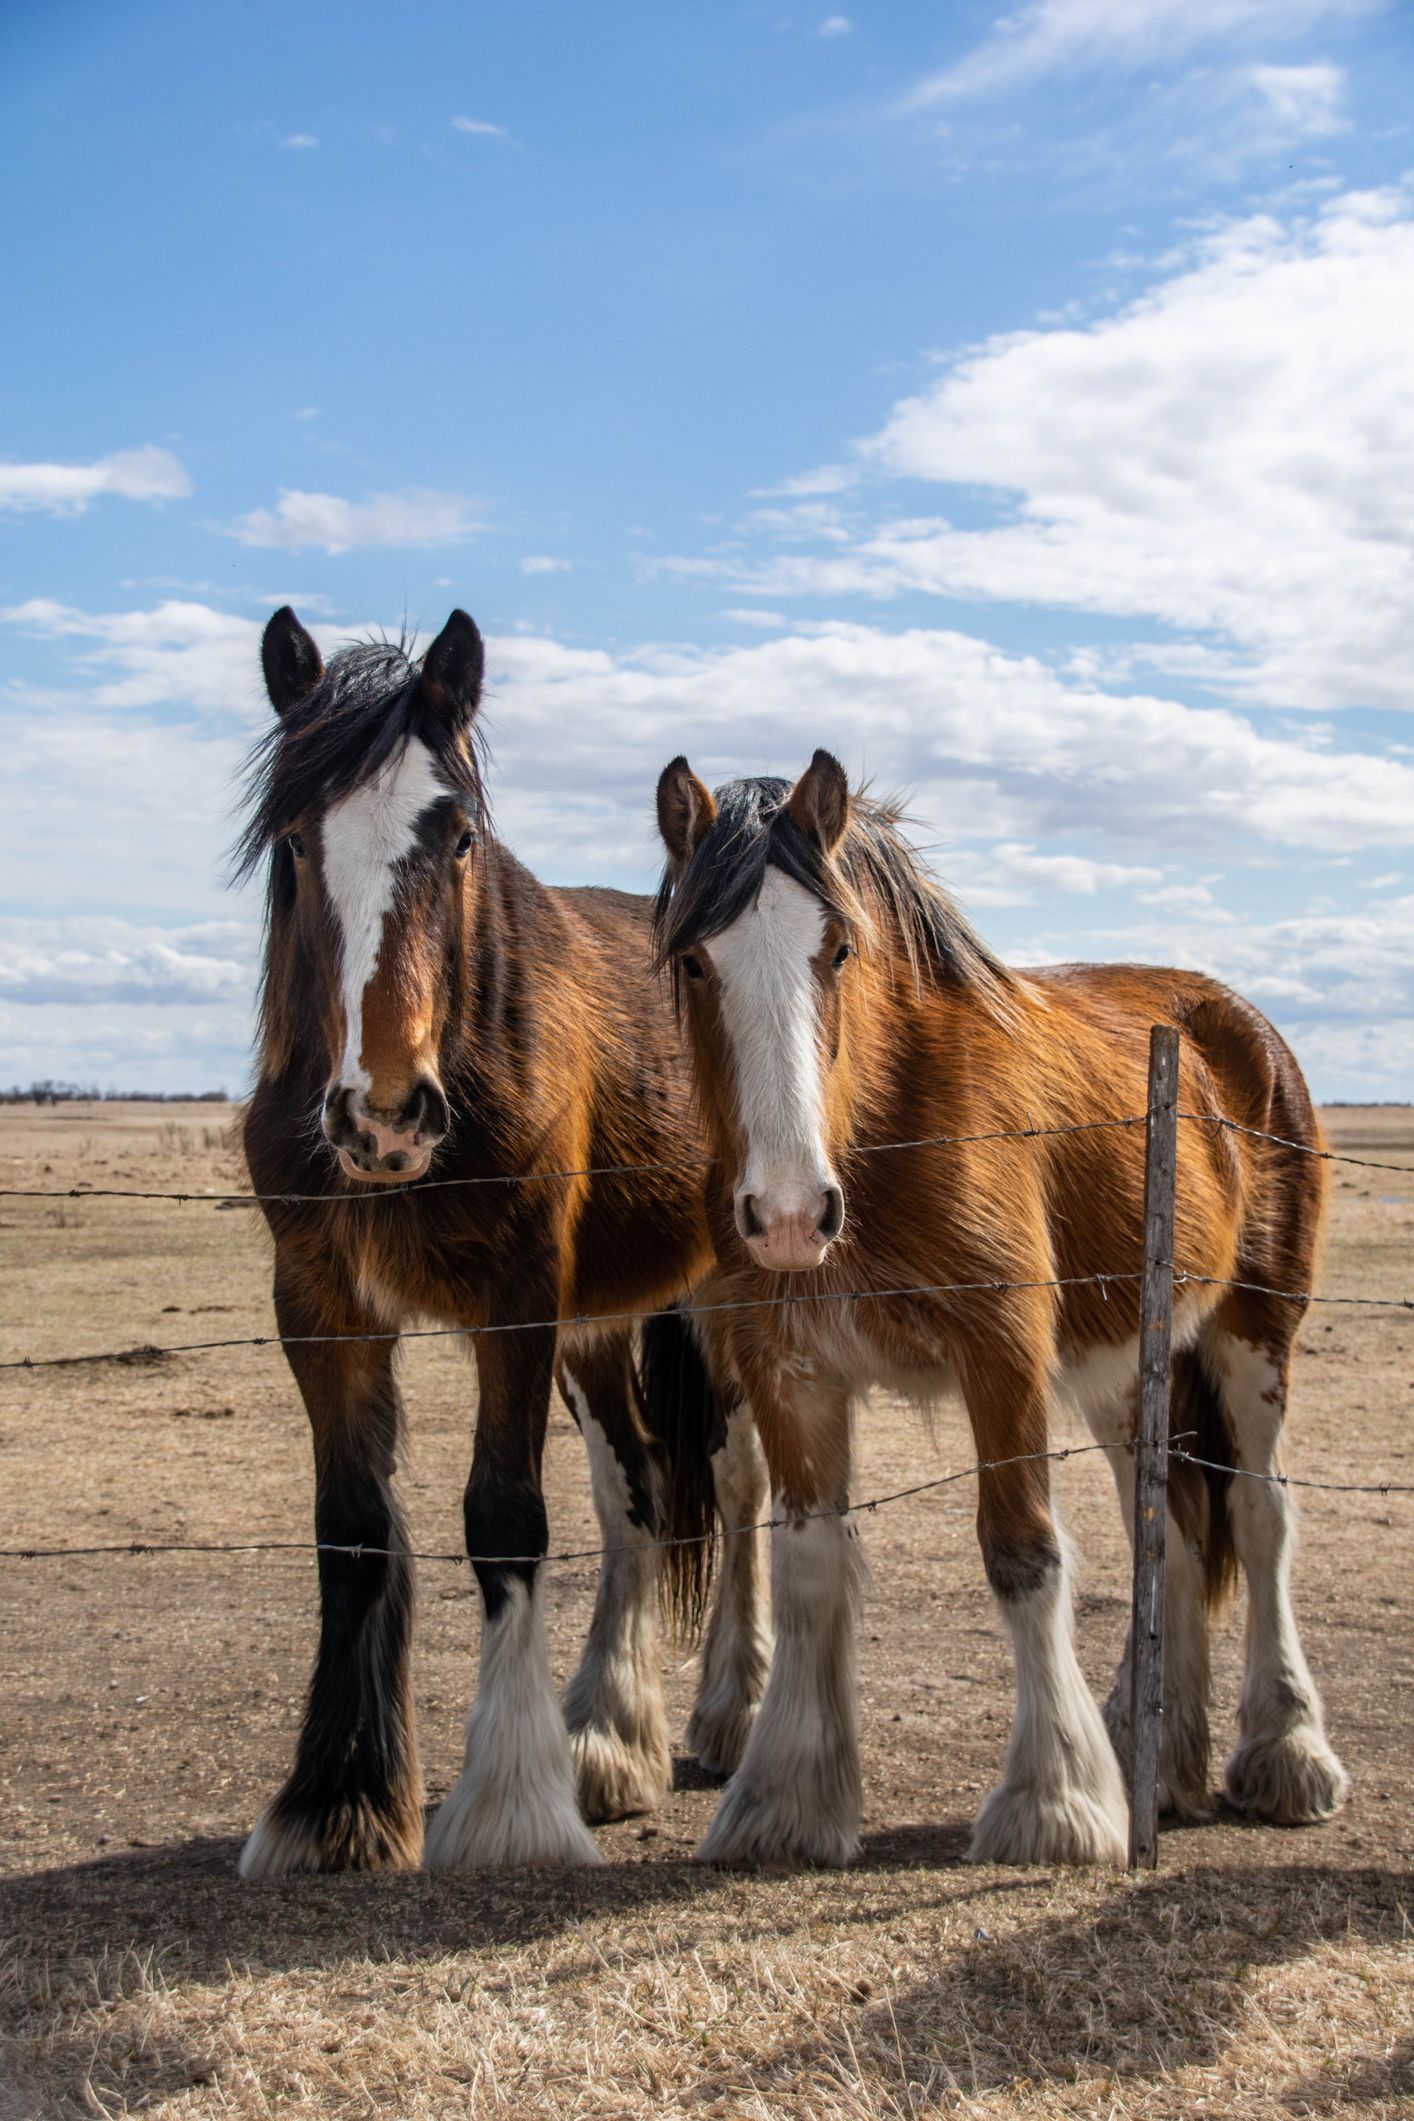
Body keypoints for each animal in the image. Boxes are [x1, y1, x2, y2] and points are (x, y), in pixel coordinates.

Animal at [235, 610, 775, 1874]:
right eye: (295, 838)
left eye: (460, 835)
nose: (384, 1115)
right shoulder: (320, 1305)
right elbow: (350, 1529)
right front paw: (337, 1799)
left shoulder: (515, 1302)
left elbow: (503, 1520)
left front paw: (512, 1807)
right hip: (600, 1329)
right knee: (635, 1489)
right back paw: (607, 1737)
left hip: (726, 1303)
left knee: (740, 1479)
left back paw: (730, 1712)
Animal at [652, 759, 1348, 1874]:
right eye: (693, 962)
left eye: (837, 948)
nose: (792, 1214)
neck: (885, 1123)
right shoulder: (787, 1368)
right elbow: (809, 1563)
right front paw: (786, 1799)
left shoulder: (1003, 1354)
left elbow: (1023, 1555)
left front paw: (1050, 1803)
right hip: (1124, 1366)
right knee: (1173, 1524)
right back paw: (1157, 1757)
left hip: (1253, 1336)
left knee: (1259, 1512)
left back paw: (1286, 1752)